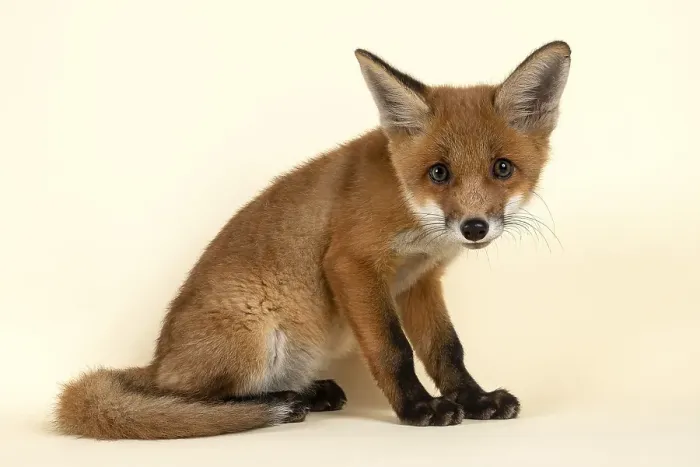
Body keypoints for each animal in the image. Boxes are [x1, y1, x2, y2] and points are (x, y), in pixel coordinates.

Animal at [54, 41, 571, 439]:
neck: (411, 211)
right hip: (254, 336)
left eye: (502, 168)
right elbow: (394, 349)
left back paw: (309, 392)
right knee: (188, 400)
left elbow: (446, 349)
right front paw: (419, 409)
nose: (474, 227)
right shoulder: (351, 263)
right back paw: (278, 402)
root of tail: (157, 363)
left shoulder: (420, 281)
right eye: (438, 173)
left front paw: (475, 399)